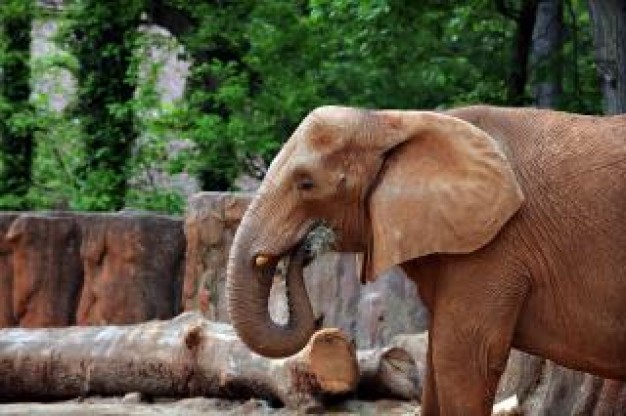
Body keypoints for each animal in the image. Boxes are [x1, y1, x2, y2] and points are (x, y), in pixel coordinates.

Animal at [225, 105, 624, 414]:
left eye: (306, 183)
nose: (306, 245)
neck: (396, 121)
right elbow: (435, 360)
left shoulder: (496, 245)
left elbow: (463, 359)